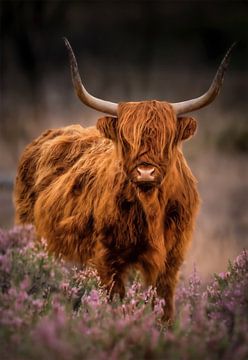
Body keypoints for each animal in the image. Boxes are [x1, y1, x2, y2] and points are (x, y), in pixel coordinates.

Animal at [14, 38, 235, 320]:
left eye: (166, 139)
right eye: (126, 139)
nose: (145, 172)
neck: (151, 208)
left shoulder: (172, 259)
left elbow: (164, 305)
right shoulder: (107, 258)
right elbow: (115, 302)